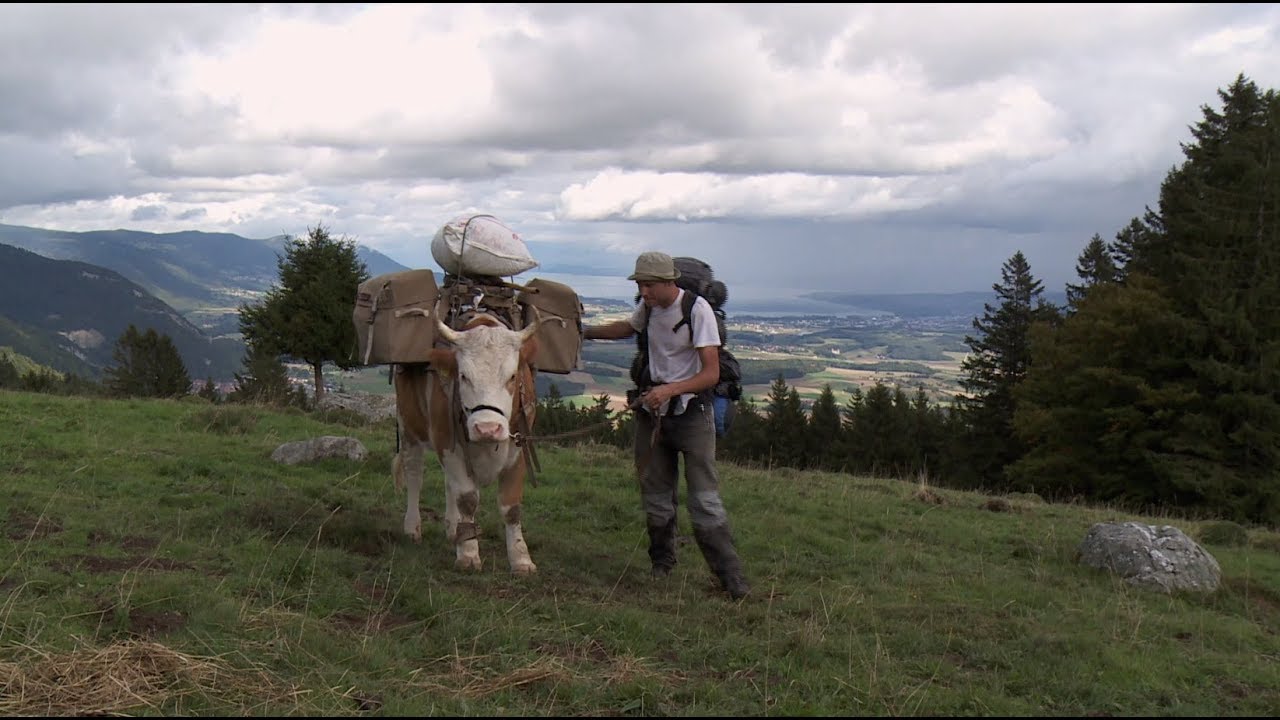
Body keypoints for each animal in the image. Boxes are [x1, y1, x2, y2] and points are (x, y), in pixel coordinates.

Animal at [389, 311, 540, 568]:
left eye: (512, 377)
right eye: (463, 376)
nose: (488, 428)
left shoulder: (519, 448)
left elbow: (511, 508)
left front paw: (521, 559)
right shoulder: (447, 444)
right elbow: (467, 499)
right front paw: (469, 554)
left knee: (449, 483)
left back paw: (453, 530)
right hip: (409, 427)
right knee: (415, 475)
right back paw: (413, 528)